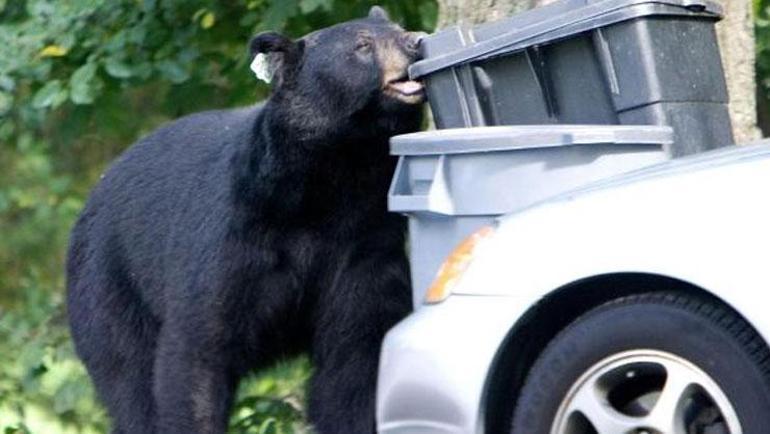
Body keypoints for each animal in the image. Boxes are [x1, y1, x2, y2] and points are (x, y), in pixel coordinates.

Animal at [64, 7, 426, 434]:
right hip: (109, 287)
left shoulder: (363, 243)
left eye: (398, 28)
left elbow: (355, 358)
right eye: (362, 45)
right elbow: (198, 350)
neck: (327, 185)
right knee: (128, 377)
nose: (416, 41)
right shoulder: (232, 236)